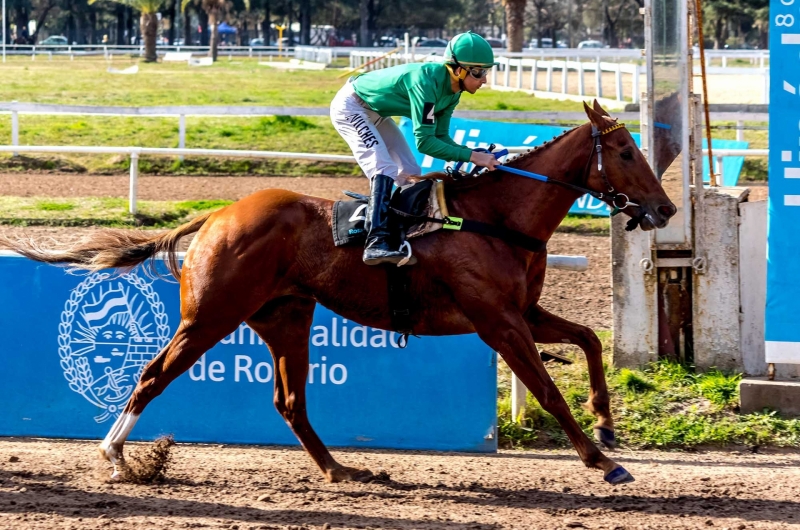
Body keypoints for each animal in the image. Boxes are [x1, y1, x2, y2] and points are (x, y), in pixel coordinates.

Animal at [0, 101, 676, 484]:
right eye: (623, 149)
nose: (666, 209)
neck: (495, 218)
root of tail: (217, 214)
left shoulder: (522, 311)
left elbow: (589, 339)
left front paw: (607, 427)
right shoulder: (498, 322)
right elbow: (547, 391)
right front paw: (602, 461)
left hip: (286, 318)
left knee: (290, 401)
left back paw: (339, 468)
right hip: (211, 315)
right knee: (151, 373)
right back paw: (116, 457)